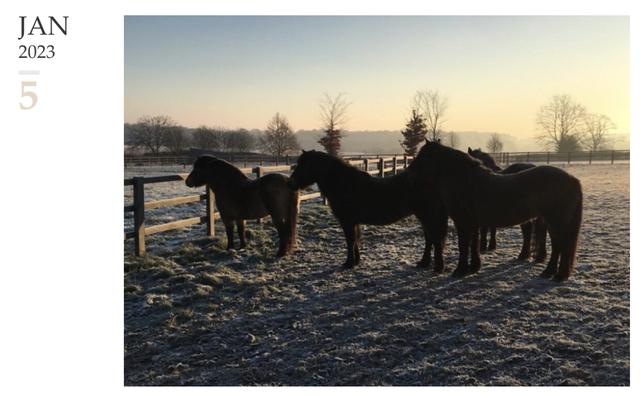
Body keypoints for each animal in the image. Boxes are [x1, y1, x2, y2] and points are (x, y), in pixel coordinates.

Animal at [288, 150, 448, 270]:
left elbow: (350, 240)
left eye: (303, 165)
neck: (345, 185)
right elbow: (356, 240)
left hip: (426, 216)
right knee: (430, 238)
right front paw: (356, 261)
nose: (291, 183)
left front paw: (348, 263)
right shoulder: (354, 221)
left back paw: (436, 266)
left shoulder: (347, 221)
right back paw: (424, 263)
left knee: (433, 238)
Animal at [408, 141, 584, 280]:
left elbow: (464, 245)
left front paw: (460, 270)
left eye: (422, 155)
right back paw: (551, 271)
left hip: (556, 223)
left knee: (560, 246)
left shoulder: (463, 223)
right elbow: (474, 243)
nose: (409, 171)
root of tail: (572, 180)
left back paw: (555, 274)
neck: (466, 181)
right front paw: (474, 267)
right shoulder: (474, 223)